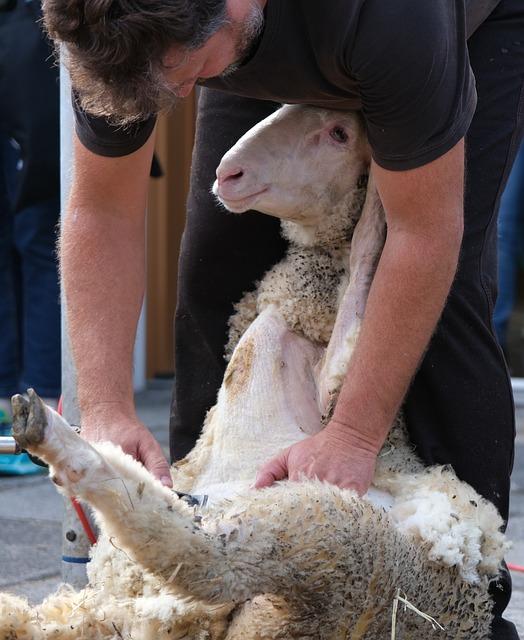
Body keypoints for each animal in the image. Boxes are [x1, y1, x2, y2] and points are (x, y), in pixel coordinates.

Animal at [0, 106, 510, 640]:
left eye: (340, 133)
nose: (229, 173)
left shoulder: (332, 396)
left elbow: (357, 292)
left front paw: (376, 207)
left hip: (333, 536)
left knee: (209, 561)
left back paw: (52, 438)